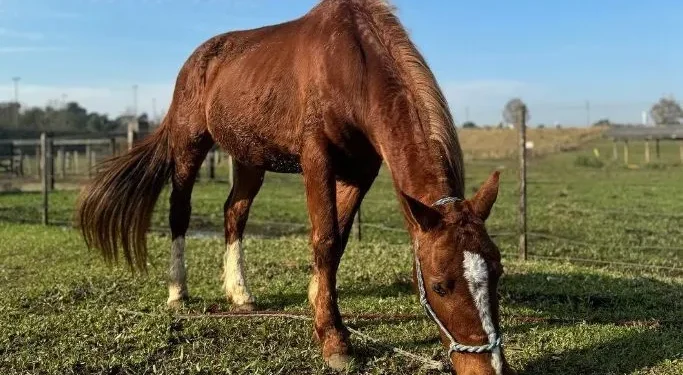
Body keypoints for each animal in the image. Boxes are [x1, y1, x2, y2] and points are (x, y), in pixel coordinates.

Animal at [75, 1, 512, 374]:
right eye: (439, 285)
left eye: (497, 271)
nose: (489, 368)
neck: (352, 63)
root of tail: (198, 58)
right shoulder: (316, 157)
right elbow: (325, 239)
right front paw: (334, 340)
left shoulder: (361, 170)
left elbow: (338, 240)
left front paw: (319, 302)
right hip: (189, 146)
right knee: (179, 212)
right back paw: (177, 292)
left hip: (249, 159)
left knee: (234, 213)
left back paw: (240, 294)